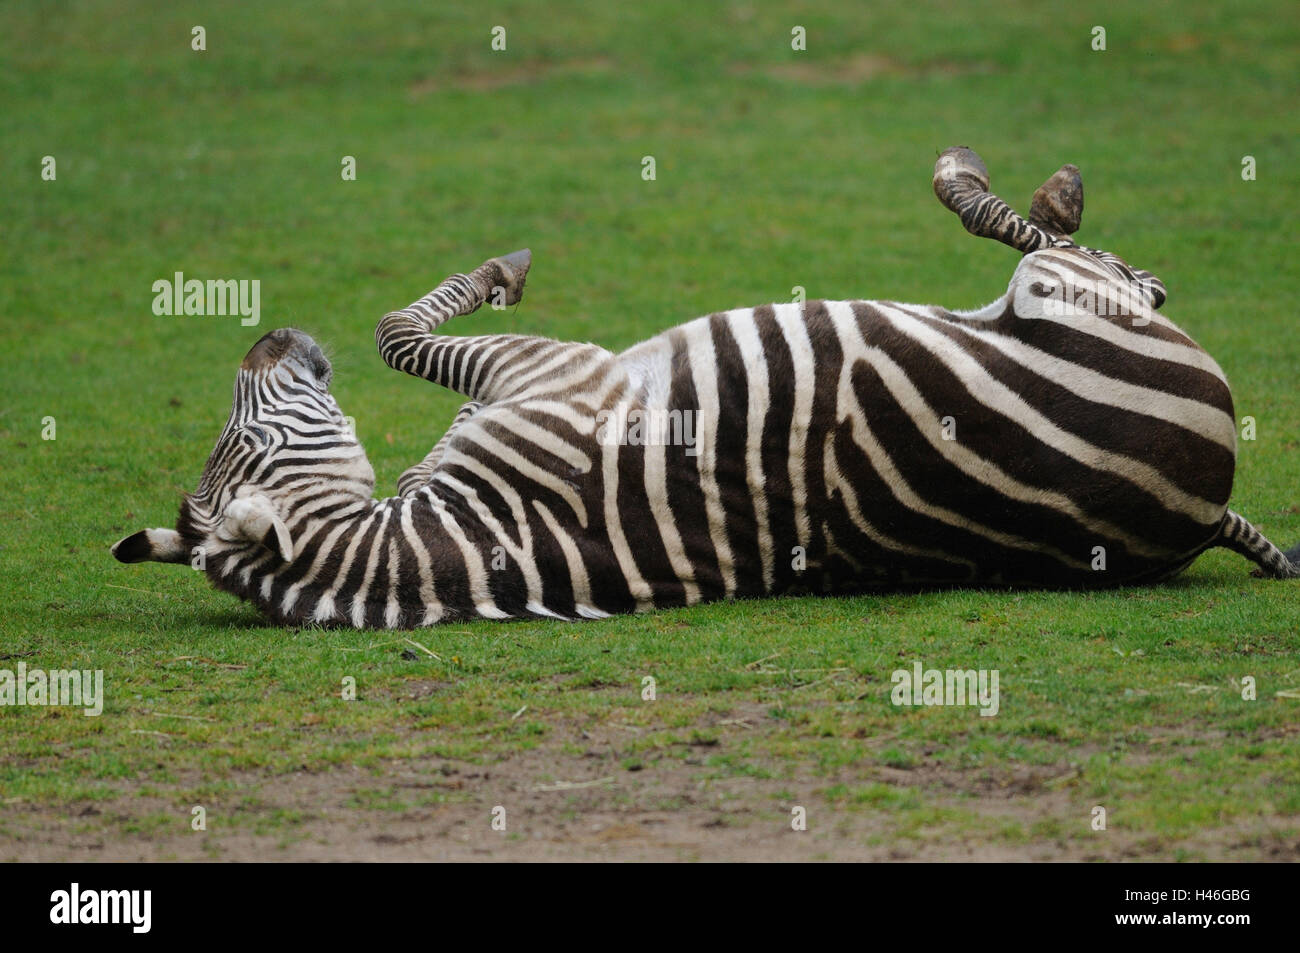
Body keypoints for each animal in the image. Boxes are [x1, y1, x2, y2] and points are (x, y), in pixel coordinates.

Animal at [111, 144, 1300, 629]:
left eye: (225, 441)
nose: (266, 334)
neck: (448, 538)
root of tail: (1202, 509)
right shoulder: (545, 372)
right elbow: (397, 333)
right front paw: (501, 269)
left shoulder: (531, 379)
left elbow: (395, 331)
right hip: (1065, 300)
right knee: (1094, 261)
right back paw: (1002, 184)